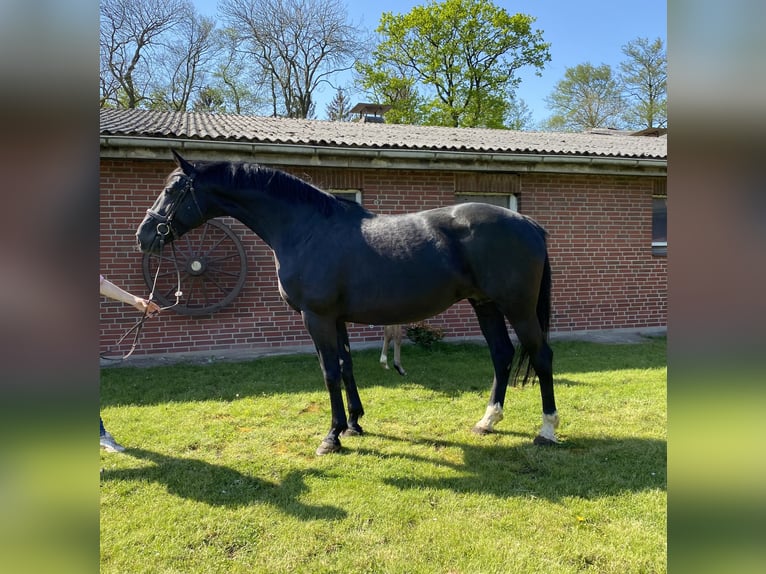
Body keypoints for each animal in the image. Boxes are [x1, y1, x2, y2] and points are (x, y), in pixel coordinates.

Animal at [135, 151, 560, 456]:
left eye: (173, 190)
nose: (145, 235)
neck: (306, 229)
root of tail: (529, 224)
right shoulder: (336, 318)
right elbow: (346, 366)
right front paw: (355, 424)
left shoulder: (317, 317)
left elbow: (329, 372)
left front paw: (332, 436)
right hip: (484, 303)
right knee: (502, 354)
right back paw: (488, 421)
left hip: (517, 307)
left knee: (540, 355)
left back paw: (547, 429)